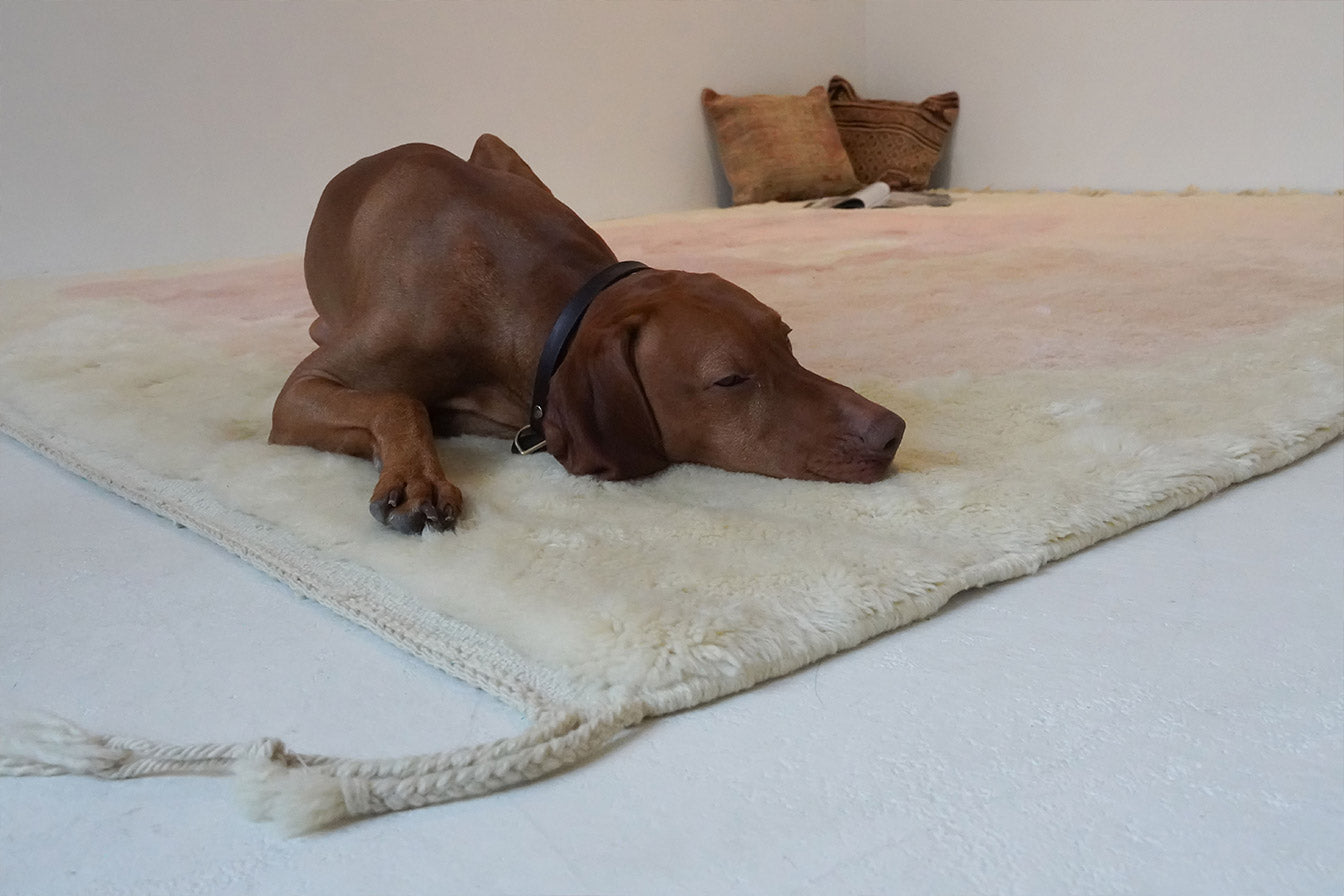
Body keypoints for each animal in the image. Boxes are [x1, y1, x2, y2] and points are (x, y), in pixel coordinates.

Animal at [270, 136, 904, 534]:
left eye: (786, 339)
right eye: (729, 380)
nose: (892, 432)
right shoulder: (301, 392)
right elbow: (397, 401)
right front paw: (416, 478)